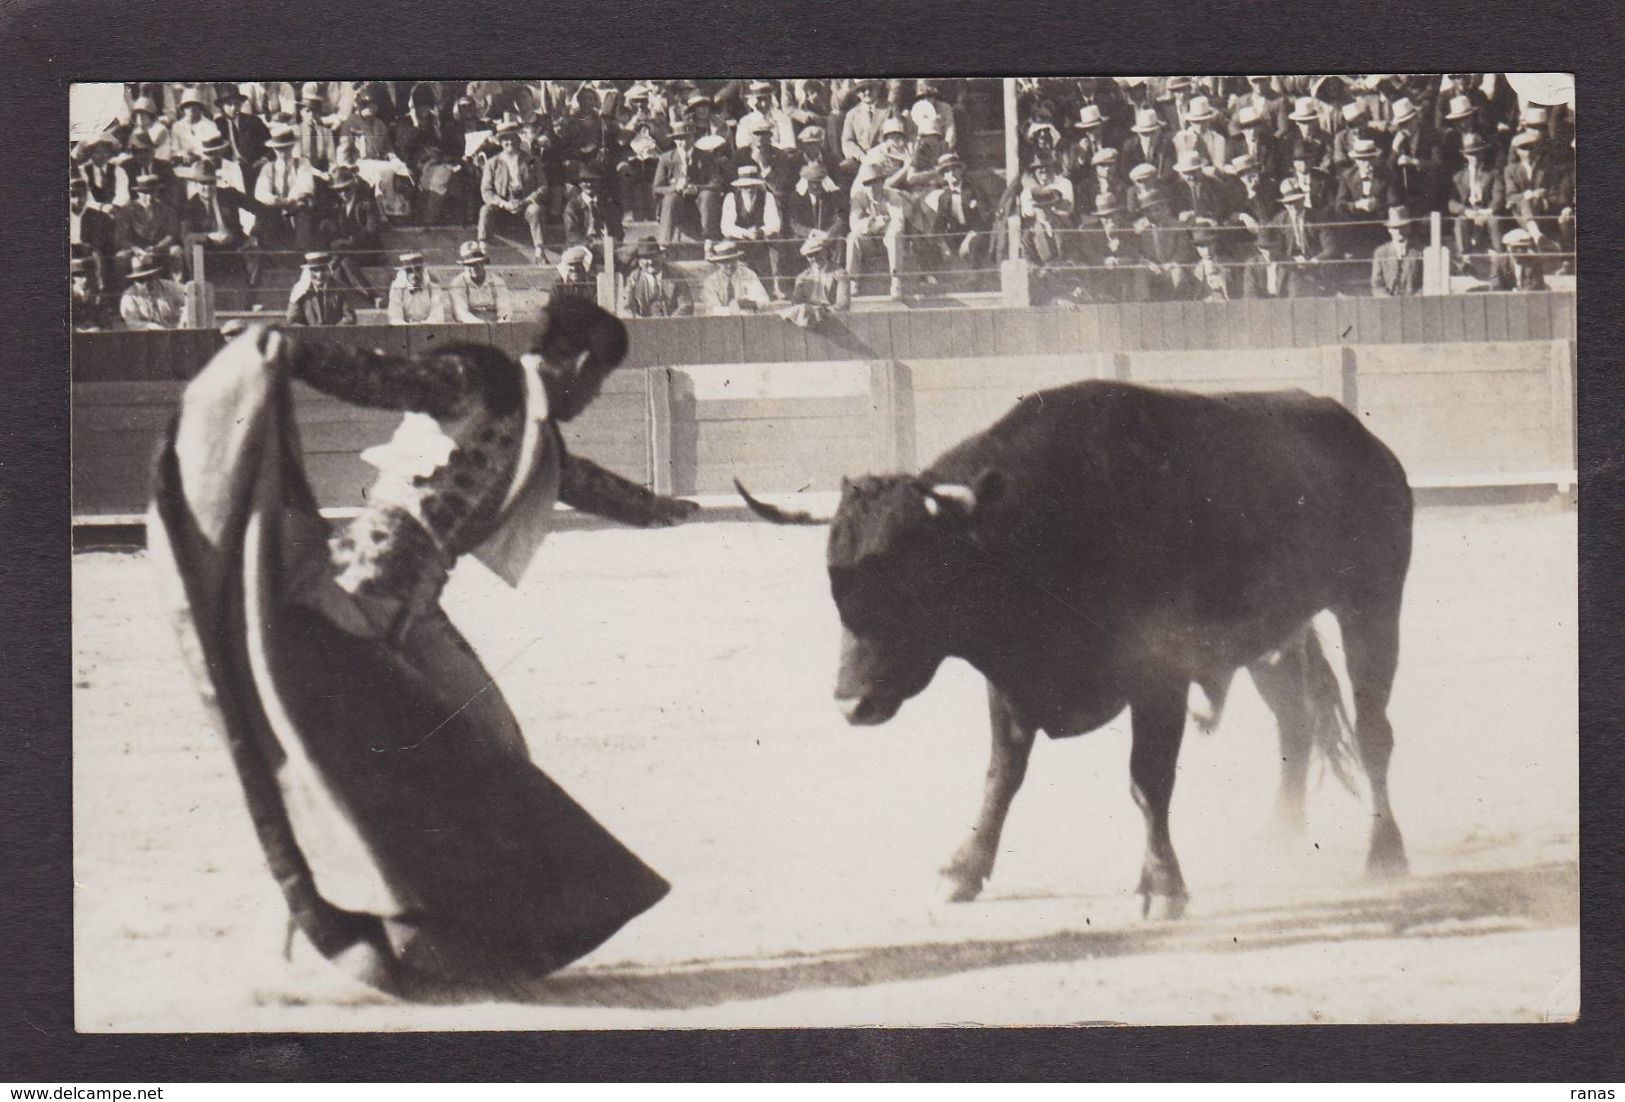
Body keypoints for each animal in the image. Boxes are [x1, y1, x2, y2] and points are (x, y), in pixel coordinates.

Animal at [737, 380, 1410, 916]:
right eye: (834, 582)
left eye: (917, 575)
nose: (852, 704)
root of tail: (1364, 441)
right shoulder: (1009, 682)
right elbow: (1001, 775)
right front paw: (962, 871)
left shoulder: (1159, 676)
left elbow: (1147, 780)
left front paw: (1162, 885)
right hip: (1271, 636)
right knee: (1296, 723)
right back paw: (1279, 837)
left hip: (1373, 602)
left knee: (1374, 731)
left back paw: (1386, 855)